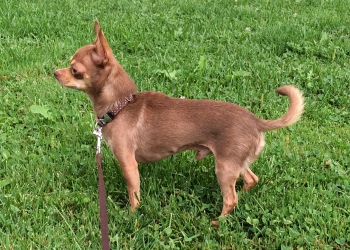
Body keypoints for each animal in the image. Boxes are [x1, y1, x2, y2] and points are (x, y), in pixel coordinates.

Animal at [54, 20, 304, 221]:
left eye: (74, 69)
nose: (55, 72)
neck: (121, 105)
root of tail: (256, 121)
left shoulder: (128, 164)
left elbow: (134, 194)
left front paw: (132, 216)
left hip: (224, 167)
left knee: (230, 199)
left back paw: (217, 223)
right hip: (236, 162)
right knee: (251, 179)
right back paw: (241, 197)